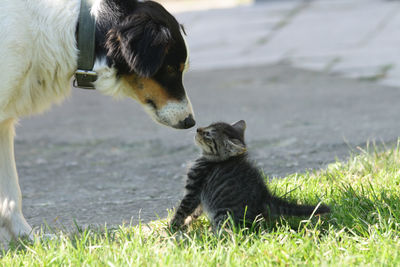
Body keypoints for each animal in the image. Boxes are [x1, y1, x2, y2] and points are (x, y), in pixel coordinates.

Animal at [0, 0, 195, 244]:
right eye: (170, 68)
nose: (191, 122)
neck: (74, 28)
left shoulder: (4, 123)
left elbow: (11, 195)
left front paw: (28, 241)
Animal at [170, 121, 330, 230]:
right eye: (208, 126)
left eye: (208, 134)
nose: (198, 129)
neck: (213, 160)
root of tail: (264, 196)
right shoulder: (200, 198)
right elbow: (195, 212)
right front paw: (187, 223)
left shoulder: (194, 189)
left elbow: (182, 210)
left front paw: (171, 227)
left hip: (223, 214)